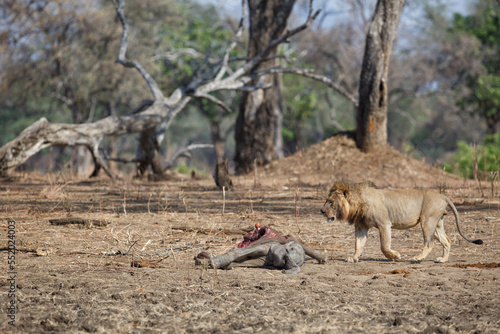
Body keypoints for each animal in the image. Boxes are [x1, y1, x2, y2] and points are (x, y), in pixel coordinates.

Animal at [322, 183, 482, 264]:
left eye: (330, 202)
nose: (321, 211)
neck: (357, 203)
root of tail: (443, 196)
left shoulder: (384, 223)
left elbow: (384, 246)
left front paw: (395, 256)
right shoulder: (361, 226)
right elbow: (358, 245)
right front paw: (354, 258)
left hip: (427, 221)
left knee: (429, 243)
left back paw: (417, 258)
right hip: (436, 224)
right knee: (447, 240)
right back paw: (442, 259)